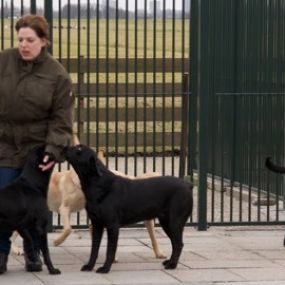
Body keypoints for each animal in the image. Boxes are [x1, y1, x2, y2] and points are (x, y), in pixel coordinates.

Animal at [0, 145, 60, 274]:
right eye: (45, 150)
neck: (32, 184)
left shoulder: (22, 226)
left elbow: (30, 241)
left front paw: (33, 260)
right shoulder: (40, 227)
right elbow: (46, 252)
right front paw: (52, 269)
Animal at [64, 144, 193, 272]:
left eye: (79, 149)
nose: (64, 147)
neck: (99, 184)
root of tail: (188, 185)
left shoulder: (112, 226)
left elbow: (110, 250)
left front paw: (105, 268)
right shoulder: (96, 224)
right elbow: (94, 249)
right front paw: (90, 266)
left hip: (174, 222)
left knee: (178, 244)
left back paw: (172, 265)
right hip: (166, 222)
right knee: (175, 243)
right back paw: (170, 262)